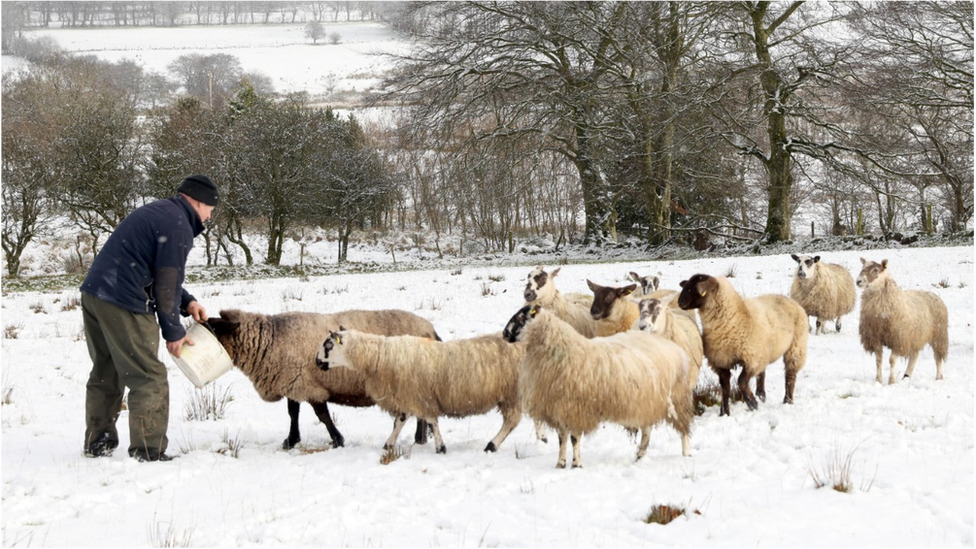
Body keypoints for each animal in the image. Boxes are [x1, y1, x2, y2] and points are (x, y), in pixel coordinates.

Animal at [209, 308, 438, 450]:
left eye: (214, 328)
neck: (270, 340)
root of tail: (430, 329)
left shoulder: (307, 385)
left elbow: (322, 415)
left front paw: (337, 440)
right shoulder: (294, 381)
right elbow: (293, 412)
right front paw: (291, 440)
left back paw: (419, 439)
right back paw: (421, 438)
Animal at [314, 330, 528, 454]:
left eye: (328, 345)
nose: (316, 362)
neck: (379, 356)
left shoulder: (422, 396)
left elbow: (431, 421)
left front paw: (440, 447)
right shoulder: (407, 395)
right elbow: (400, 421)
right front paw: (389, 444)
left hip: (511, 394)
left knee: (511, 421)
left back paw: (492, 445)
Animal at [504, 304, 692, 466]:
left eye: (521, 316)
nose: (504, 334)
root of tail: (672, 346)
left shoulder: (575, 408)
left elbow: (574, 438)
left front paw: (576, 464)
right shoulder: (559, 407)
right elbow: (562, 438)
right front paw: (560, 463)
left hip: (677, 399)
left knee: (683, 430)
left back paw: (686, 454)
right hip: (649, 401)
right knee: (647, 430)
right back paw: (639, 456)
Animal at [680, 274, 808, 416]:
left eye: (697, 288)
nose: (680, 302)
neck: (735, 317)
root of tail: (791, 300)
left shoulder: (751, 360)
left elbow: (741, 382)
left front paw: (752, 403)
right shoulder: (721, 361)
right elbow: (725, 387)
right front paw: (724, 413)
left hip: (796, 347)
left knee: (790, 375)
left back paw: (787, 400)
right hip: (764, 352)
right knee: (762, 374)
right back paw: (761, 395)